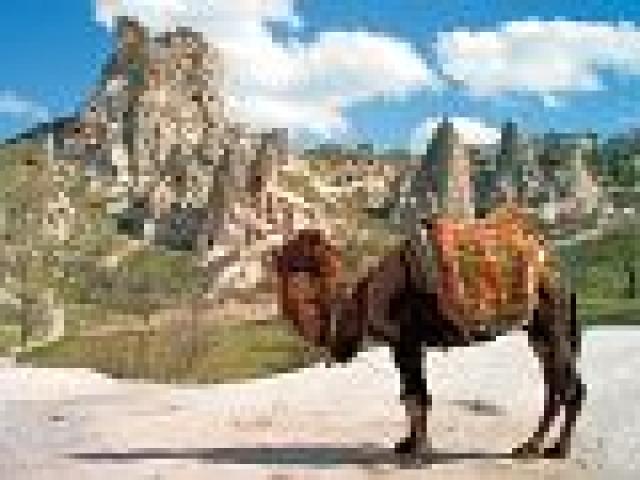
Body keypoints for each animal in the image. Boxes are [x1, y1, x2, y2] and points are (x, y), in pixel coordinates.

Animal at [270, 207, 585, 460]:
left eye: (296, 260)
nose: (272, 256)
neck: (364, 297)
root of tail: (556, 269)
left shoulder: (405, 340)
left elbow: (415, 396)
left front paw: (418, 450)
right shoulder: (404, 344)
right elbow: (411, 393)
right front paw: (407, 444)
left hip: (552, 319)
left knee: (569, 387)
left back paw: (554, 449)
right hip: (539, 330)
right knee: (555, 385)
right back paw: (534, 446)